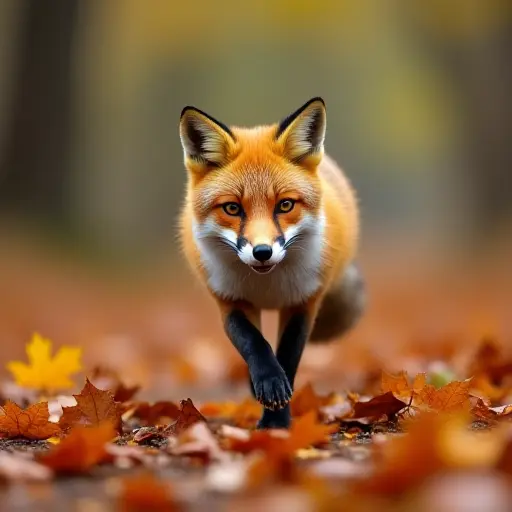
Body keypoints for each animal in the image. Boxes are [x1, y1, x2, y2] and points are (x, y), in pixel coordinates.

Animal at [178, 96, 366, 428]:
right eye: (232, 208)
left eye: (285, 205)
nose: (262, 251)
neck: (267, 286)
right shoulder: (230, 300)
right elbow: (254, 344)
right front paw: (267, 384)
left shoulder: (304, 301)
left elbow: (287, 357)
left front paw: (277, 421)